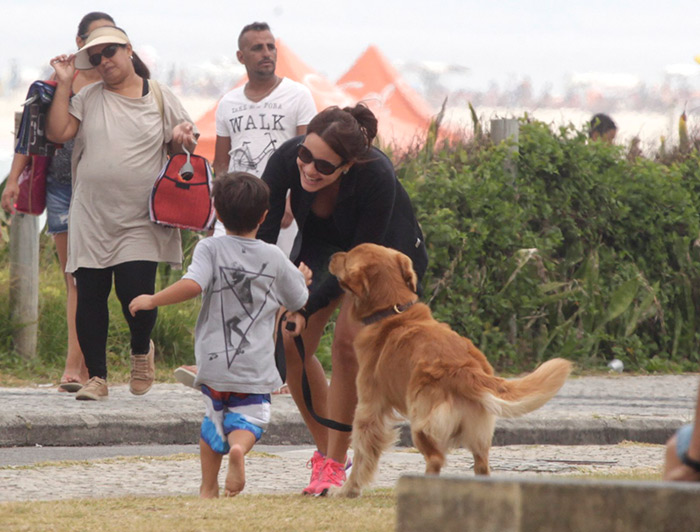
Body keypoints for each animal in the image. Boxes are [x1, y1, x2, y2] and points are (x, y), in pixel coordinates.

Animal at [326, 243, 568, 496]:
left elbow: (362, 453)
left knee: (435, 459)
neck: (392, 311)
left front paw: (348, 490)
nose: (332, 255)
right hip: (478, 432)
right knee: (481, 465)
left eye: (347, 256)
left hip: (420, 424)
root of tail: (464, 369)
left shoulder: (369, 406)